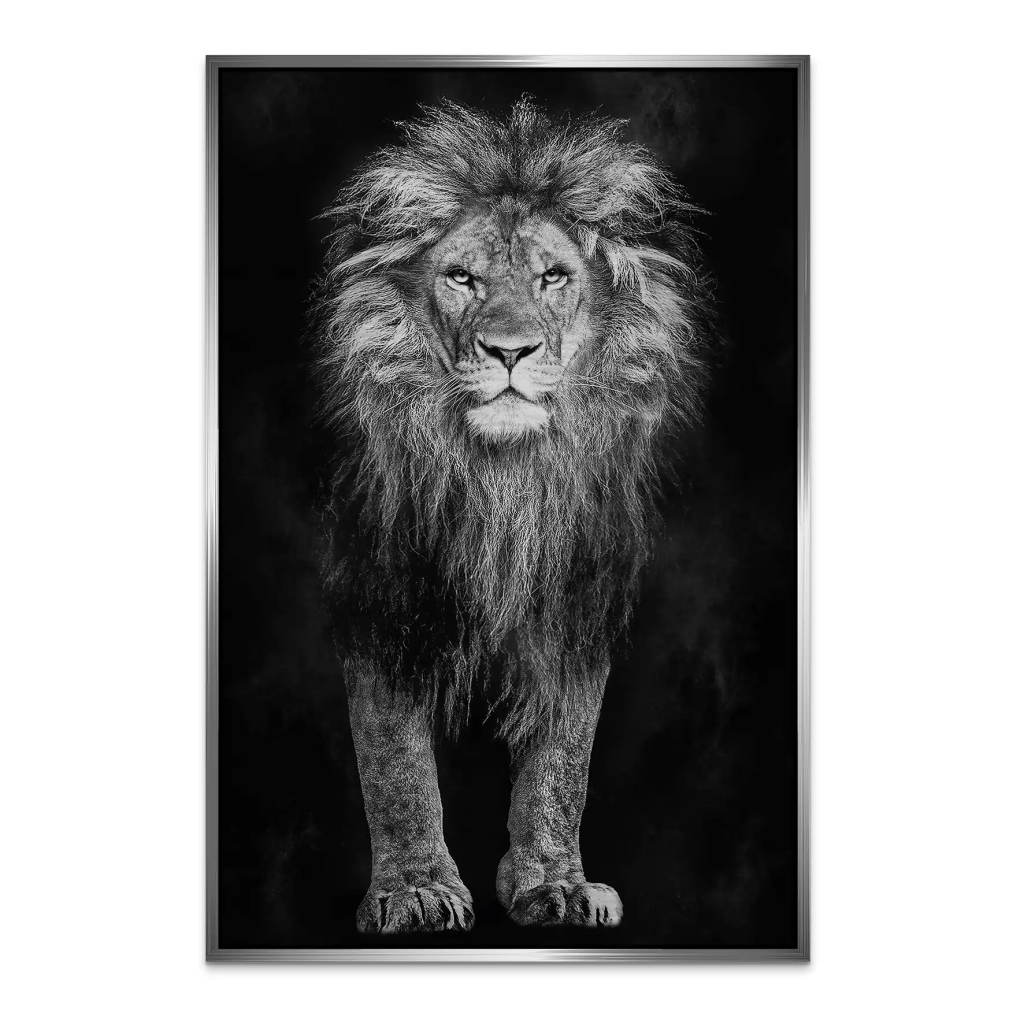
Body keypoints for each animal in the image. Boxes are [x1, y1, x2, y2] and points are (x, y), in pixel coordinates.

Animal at [313, 98, 712, 933]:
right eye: (462, 277)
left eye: (552, 276)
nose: (509, 351)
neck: (504, 480)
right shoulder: (380, 588)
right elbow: (394, 758)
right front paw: (416, 889)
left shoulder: (576, 595)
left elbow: (564, 763)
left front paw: (554, 884)